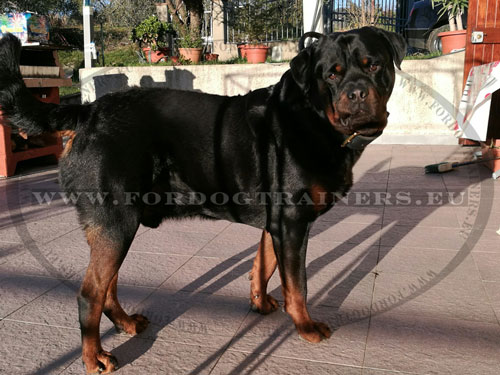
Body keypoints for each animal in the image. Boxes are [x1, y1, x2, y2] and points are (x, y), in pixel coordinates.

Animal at [0, 27, 406, 374]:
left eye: (374, 65)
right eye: (332, 75)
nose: (357, 93)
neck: (316, 118)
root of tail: (86, 112)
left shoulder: (276, 222)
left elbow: (263, 265)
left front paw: (260, 303)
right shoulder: (292, 221)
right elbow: (297, 284)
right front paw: (305, 326)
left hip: (111, 227)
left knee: (106, 288)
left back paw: (126, 323)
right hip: (117, 222)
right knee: (89, 294)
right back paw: (93, 357)